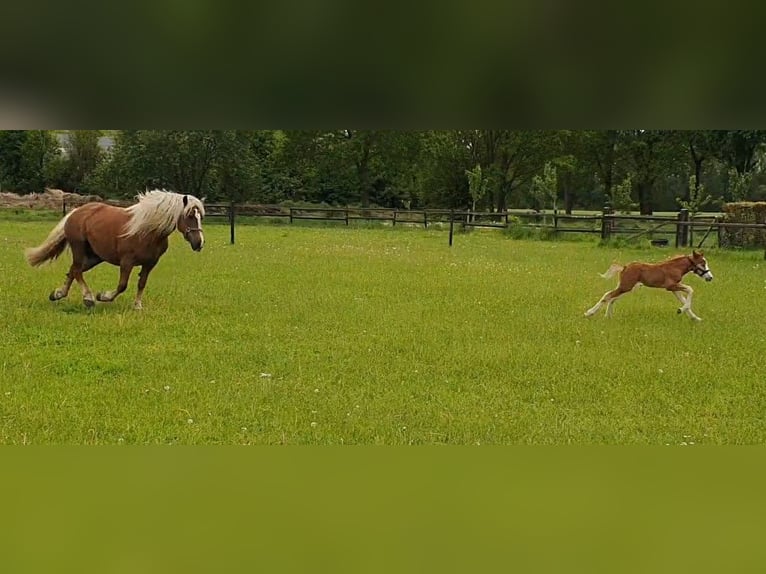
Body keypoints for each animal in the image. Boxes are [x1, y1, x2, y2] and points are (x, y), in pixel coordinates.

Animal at [24, 190, 206, 310]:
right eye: (190, 215)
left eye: (200, 216)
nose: (199, 243)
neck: (148, 231)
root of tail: (76, 212)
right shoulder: (127, 262)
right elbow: (122, 285)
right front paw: (103, 296)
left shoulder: (150, 264)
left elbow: (141, 283)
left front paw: (137, 306)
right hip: (79, 247)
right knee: (76, 270)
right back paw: (88, 298)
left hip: (95, 256)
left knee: (73, 270)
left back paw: (58, 294)